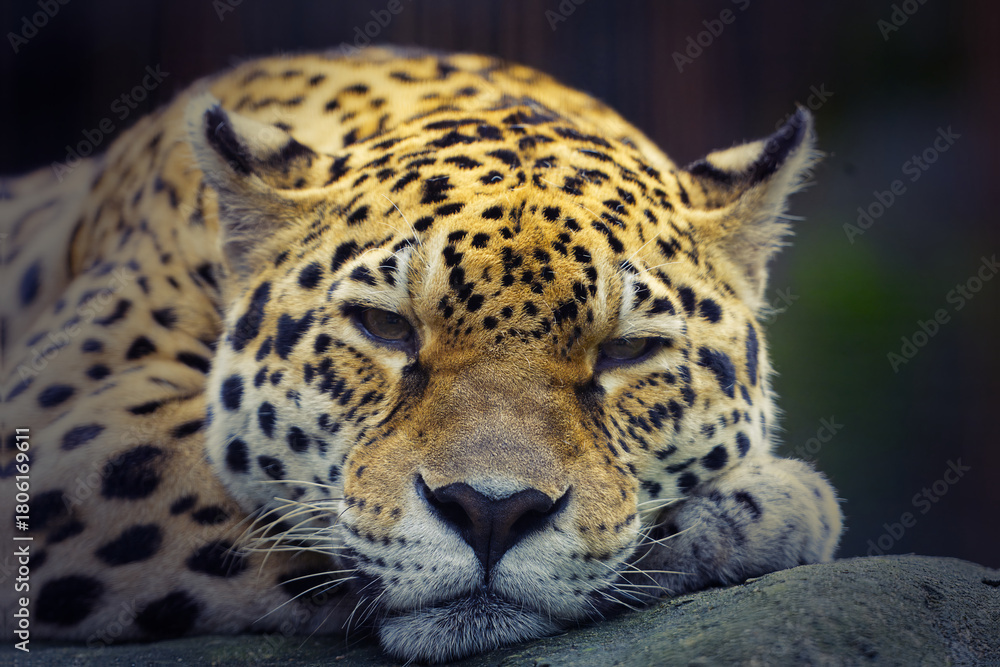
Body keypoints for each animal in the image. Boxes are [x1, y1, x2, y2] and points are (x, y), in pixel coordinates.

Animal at [0, 46, 843, 663]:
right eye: (386, 327)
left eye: (628, 347)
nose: (493, 512)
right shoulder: (61, 426)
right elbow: (281, 513)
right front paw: (776, 507)